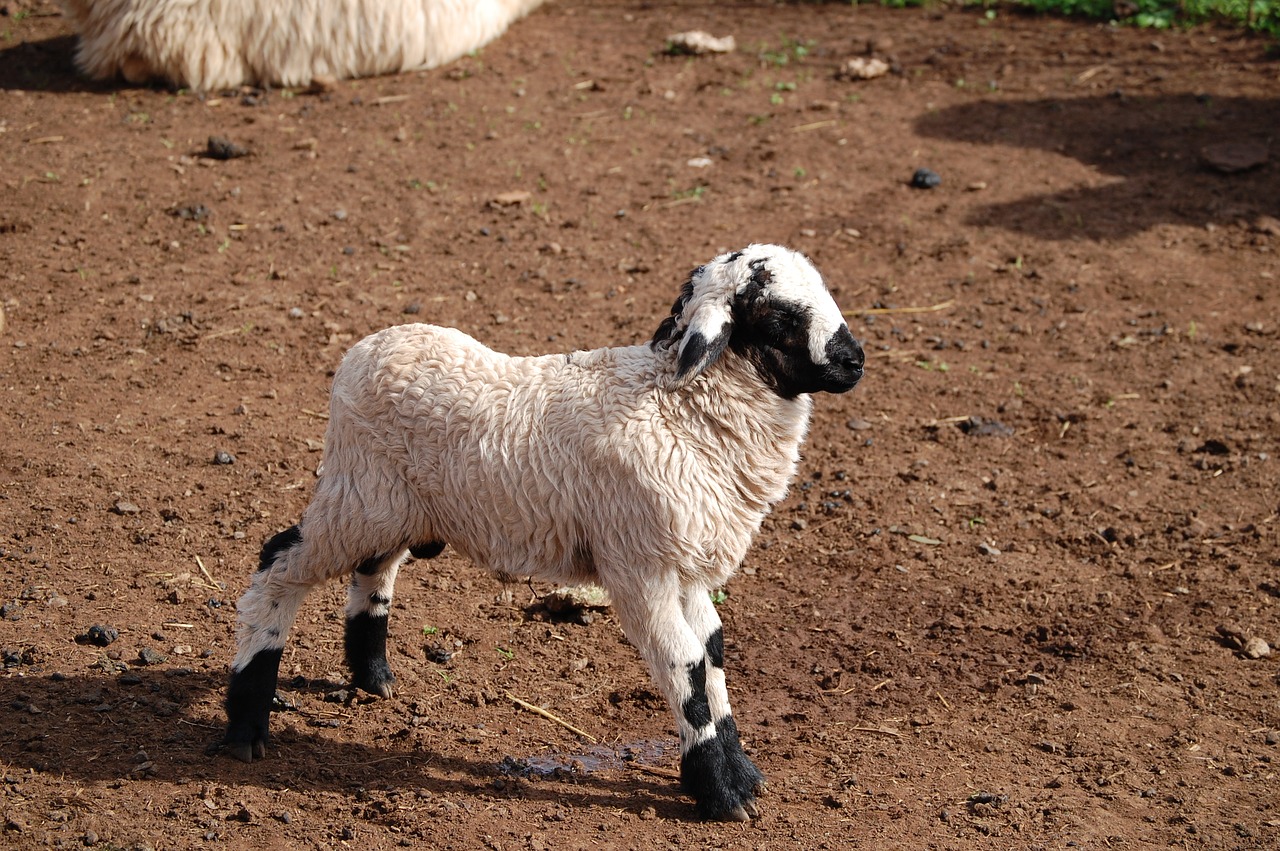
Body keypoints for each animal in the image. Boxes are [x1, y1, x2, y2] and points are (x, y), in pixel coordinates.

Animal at [225, 244, 865, 819]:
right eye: (781, 317)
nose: (854, 360)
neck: (680, 406)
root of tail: (365, 349)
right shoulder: (639, 565)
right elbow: (684, 664)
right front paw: (719, 792)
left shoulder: (685, 565)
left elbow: (712, 654)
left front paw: (739, 775)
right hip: (356, 495)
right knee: (277, 564)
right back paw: (246, 723)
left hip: (393, 505)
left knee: (373, 568)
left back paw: (373, 675)